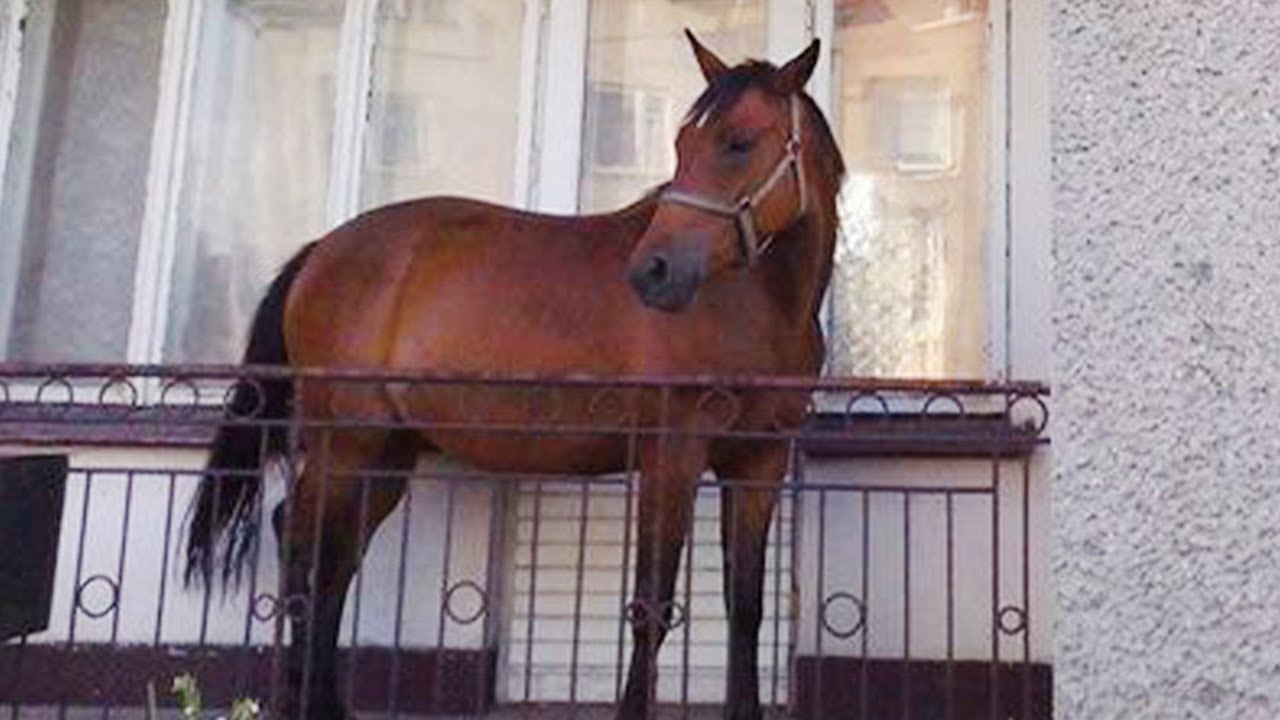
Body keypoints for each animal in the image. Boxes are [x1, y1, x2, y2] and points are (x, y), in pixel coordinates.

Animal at [184, 31, 844, 720]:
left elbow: (746, 608)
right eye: (683, 145)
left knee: (332, 557)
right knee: (303, 542)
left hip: (384, 456)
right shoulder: (673, 455)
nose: (653, 272)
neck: (757, 302)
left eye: (738, 142)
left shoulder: (759, 464)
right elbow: (652, 607)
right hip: (347, 443)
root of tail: (320, 251)